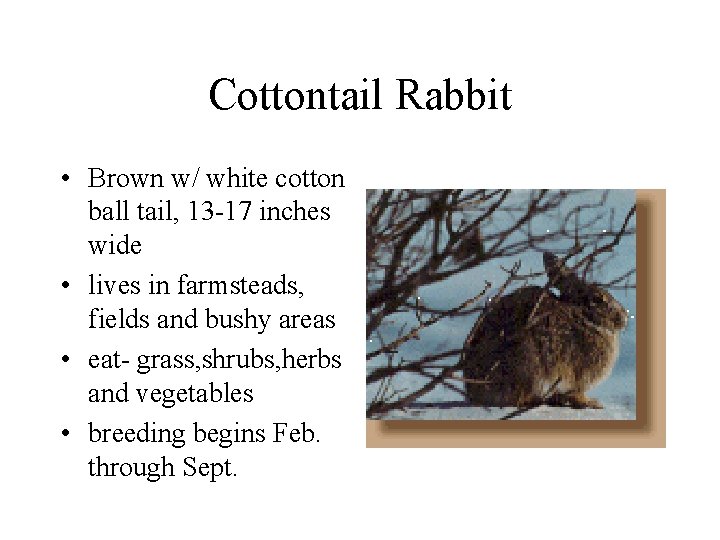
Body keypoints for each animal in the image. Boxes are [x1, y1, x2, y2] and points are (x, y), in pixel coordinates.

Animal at [461, 252, 628, 409]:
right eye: (598, 300)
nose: (624, 317)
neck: (583, 317)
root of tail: (474, 393)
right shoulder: (579, 375)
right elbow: (577, 393)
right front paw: (591, 403)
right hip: (529, 365)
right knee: (521, 399)